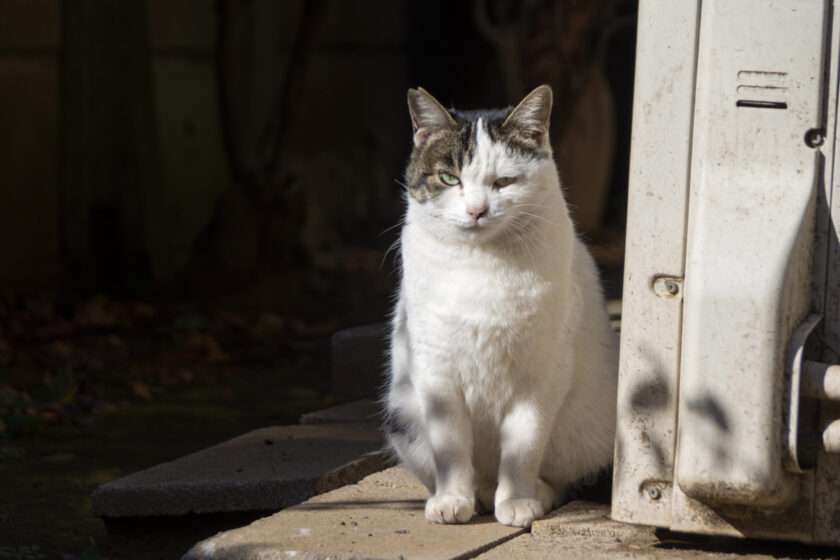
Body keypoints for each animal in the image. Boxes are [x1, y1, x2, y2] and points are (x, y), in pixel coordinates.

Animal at [384, 85, 620, 528]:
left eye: (505, 181)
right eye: (449, 177)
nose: (477, 210)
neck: (482, 265)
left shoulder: (541, 375)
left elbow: (523, 447)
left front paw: (517, 500)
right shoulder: (436, 372)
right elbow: (451, 446)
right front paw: (452, 499)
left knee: (565, 479)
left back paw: (537, 493)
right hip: (402, 419)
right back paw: (475, 493)